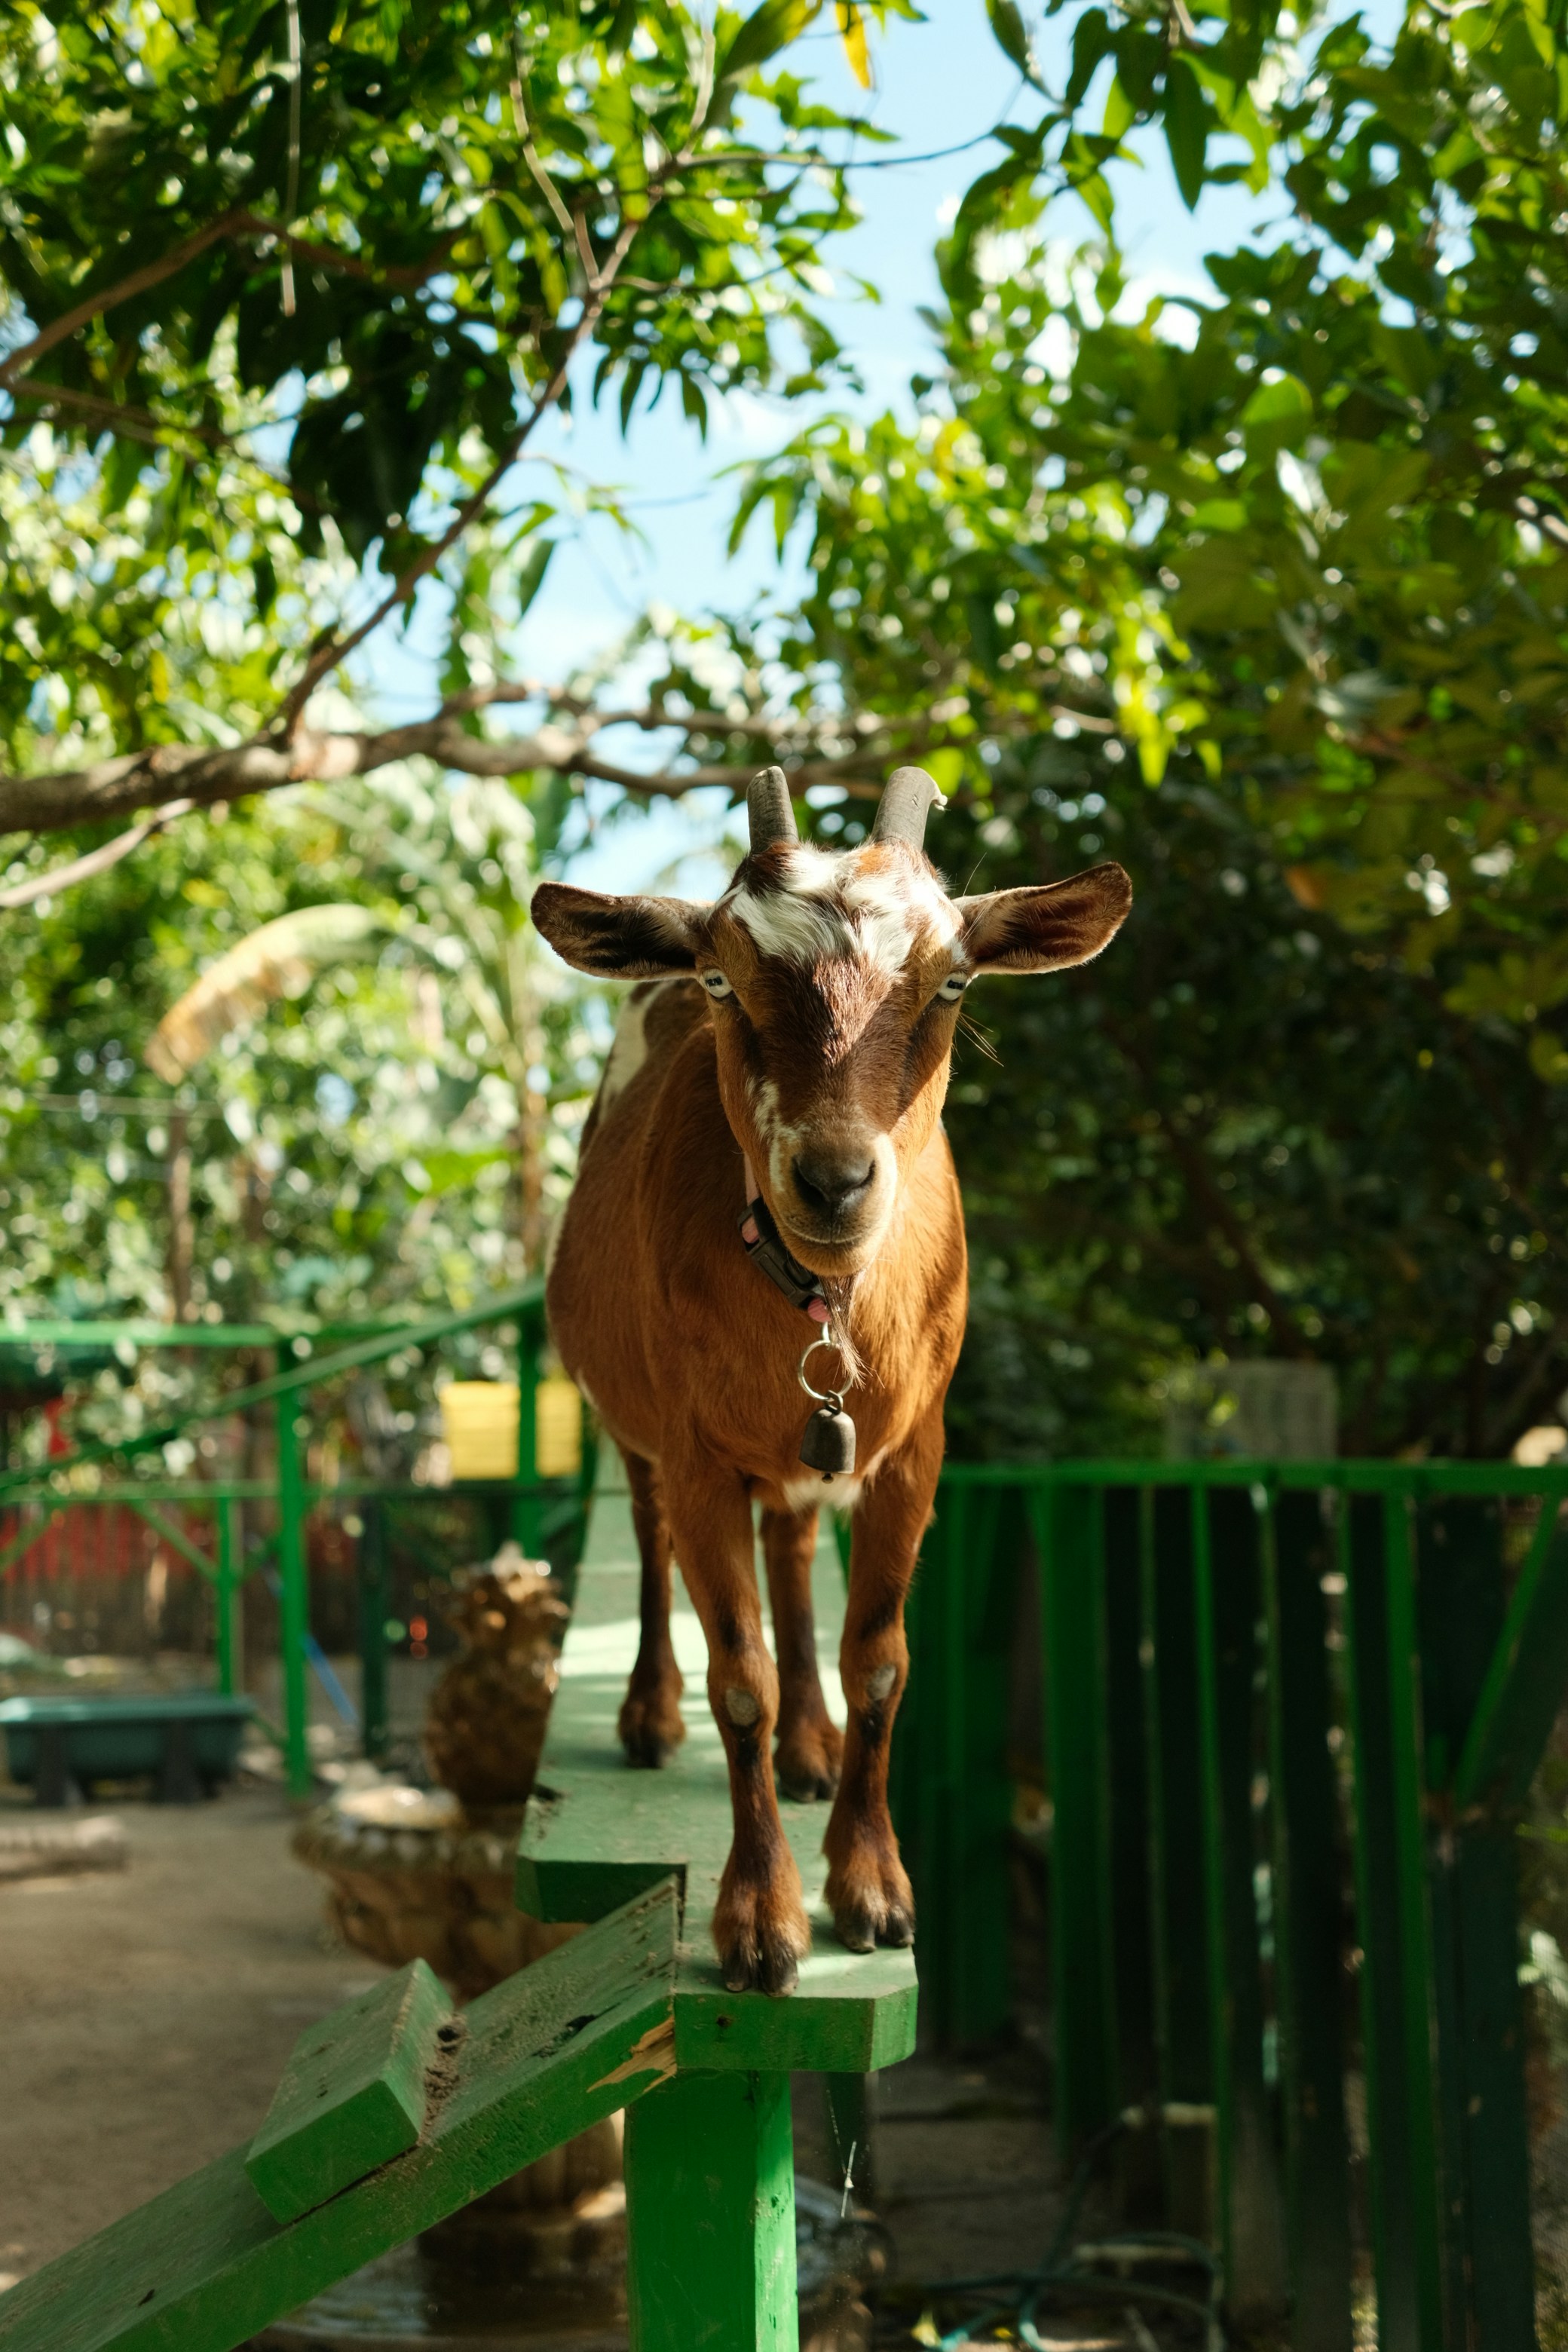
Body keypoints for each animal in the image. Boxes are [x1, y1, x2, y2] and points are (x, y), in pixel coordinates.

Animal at [531, 765, 1131, 1994]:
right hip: (633, 1419)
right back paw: (650, 1714)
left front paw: (873, 1888)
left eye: (954, 979)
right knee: (656, 1536)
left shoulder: (914, 1452)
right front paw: (761, 1920)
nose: (835, 1180)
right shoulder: (701, 1453)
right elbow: (739, 1677)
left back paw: (810, 1746)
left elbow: (882, 1664)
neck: (822, 1302)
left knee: (796, 1542)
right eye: (722, 975)